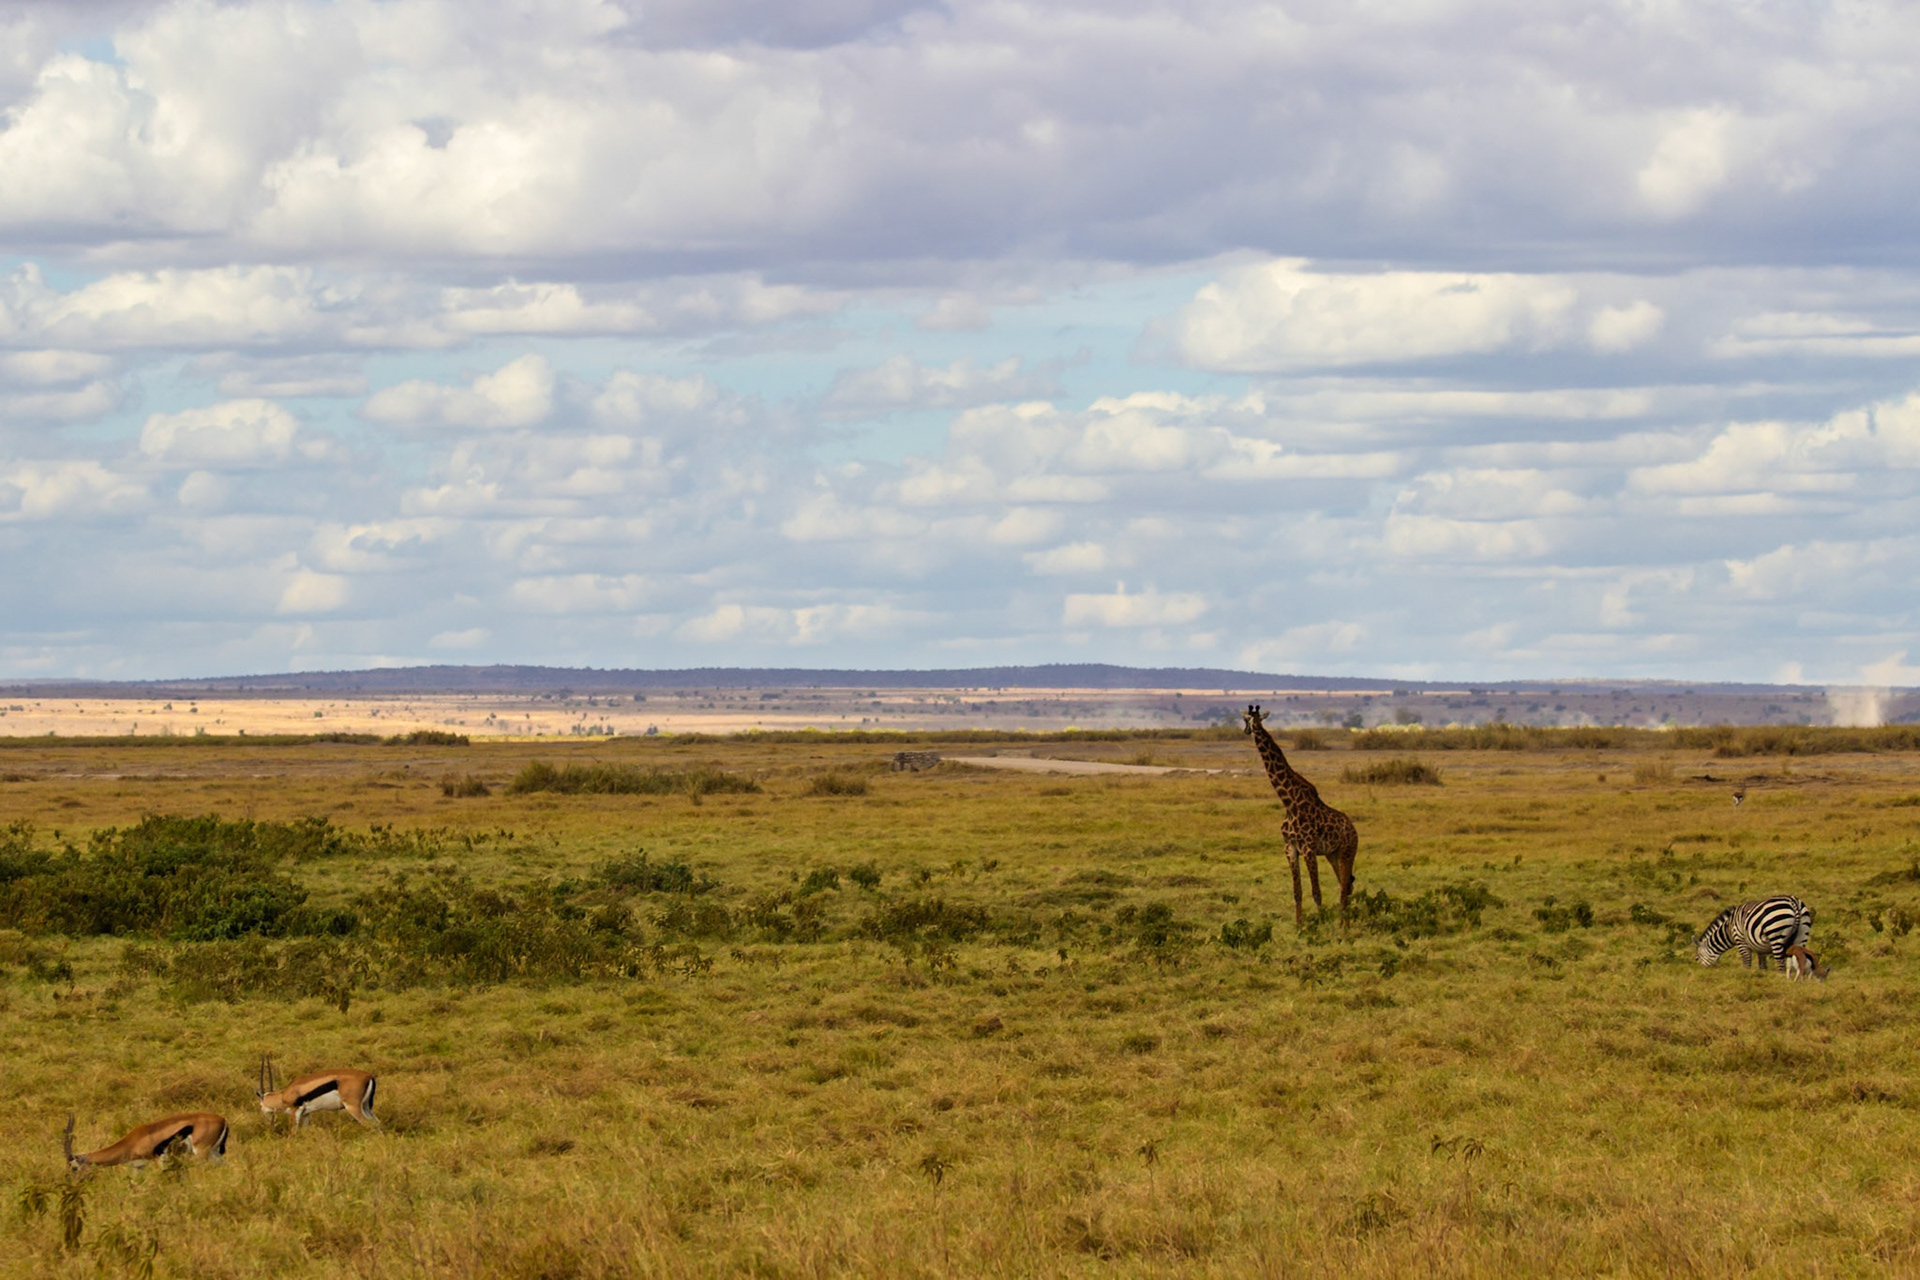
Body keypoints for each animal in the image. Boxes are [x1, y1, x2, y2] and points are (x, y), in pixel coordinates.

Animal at [65, 1111, 228, 1171]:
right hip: (214, 1153)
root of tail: (223, 1119)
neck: (132, 1142)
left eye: (74, 1168)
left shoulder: (157, 1160)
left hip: (201, 1153)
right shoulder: (138, 1167)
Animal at [1242, 704, 1358, 926]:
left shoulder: (1308, 848)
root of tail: (1354, 830)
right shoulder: (1290, 848)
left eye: (1250, 720)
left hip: (1347, 852)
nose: (1247, 731)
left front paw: (1320, 923)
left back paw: (1343, 926)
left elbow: (1316, 892)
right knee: (1346, 885)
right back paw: (1344, 924)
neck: (1289, 802)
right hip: (1332, 854)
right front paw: (1299, 926)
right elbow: (1298, 892)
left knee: (1345, 887)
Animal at [1694, 895, 1826, 980]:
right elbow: (1762, 963)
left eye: (1697, 958)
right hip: (1802, 933)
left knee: (1780, 963)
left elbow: (1746, 961)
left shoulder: (1741, 940)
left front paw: (1745, 976)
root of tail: (1794, 903)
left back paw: (1780, 978)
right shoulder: (1760, 947)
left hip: (1776, 933)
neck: (1729, 928)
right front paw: (1762, 974)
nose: (1701, 972)